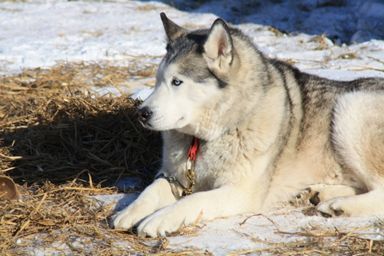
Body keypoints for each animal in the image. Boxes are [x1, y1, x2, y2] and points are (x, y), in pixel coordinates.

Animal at [112, 13, 384, 237]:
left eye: (177, 82)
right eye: (158, 80)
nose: (142, 113)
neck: (212, 135)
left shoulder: (240, 192)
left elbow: (193, 200)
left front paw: (160, 218)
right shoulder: (174, 177)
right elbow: (151, 189)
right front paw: (129, 211)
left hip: (351, 109)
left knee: (380, 191)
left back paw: (340, 206)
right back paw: (320, 194)